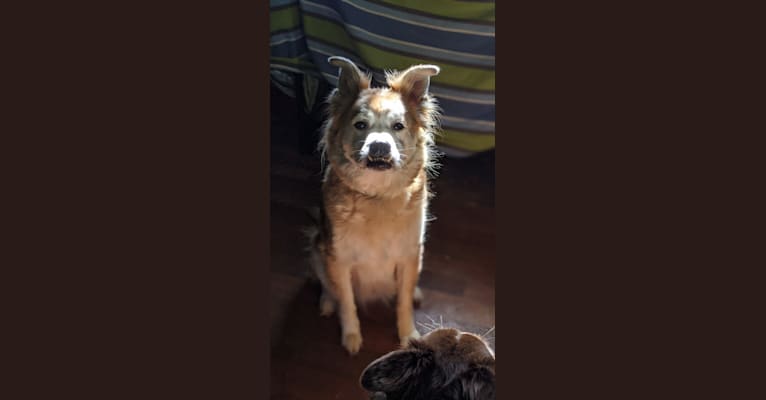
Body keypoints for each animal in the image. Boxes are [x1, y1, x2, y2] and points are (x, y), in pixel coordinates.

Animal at [308, 56, 440, 354]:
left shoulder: (410, 255)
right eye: (360, 125)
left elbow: (403, 301)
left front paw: (408, 334)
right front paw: (351, 336)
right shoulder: (339, 259)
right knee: (327, 286)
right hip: (317, 246)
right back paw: (326, 302)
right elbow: (347, 302)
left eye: (398, 126)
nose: (379, 147)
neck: (378, 197)